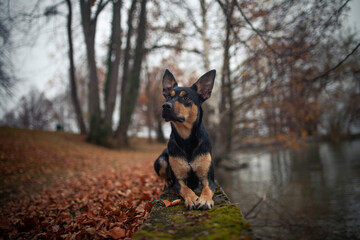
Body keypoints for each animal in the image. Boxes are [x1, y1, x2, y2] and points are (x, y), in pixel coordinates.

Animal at [153, 68, 215, 209]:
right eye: (168, 96)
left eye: (186, 97)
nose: (165, 105)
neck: (187, 139)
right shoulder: (179, 180)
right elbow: (186, 189)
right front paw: (192, 198)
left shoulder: (208, 178)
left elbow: (207, 188)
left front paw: (204, 200)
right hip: (161, 160)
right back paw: (166, 182)